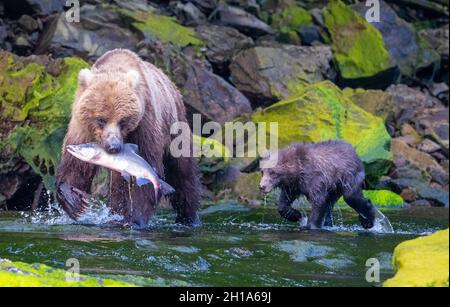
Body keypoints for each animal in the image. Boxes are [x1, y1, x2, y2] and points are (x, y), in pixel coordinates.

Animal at [55, 48, 200, 229]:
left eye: (123, 120)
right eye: (100, 119)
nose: (114, 146)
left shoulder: (144, 124)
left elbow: (146, 168)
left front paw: (133, 218)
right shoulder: (82, 126)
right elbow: (76, 166)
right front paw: (74, 201)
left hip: (175, 127)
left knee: (183, 173)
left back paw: (189, 218)